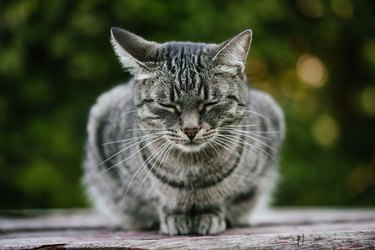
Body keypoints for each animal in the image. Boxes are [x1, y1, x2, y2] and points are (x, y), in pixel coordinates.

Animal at [84, 27, 284, 236]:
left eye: (210, 103)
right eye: (168, 105)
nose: (190, 130)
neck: (192, 172)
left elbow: (224, 200)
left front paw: (210, 216)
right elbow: (157, 200)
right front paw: (174, 218)